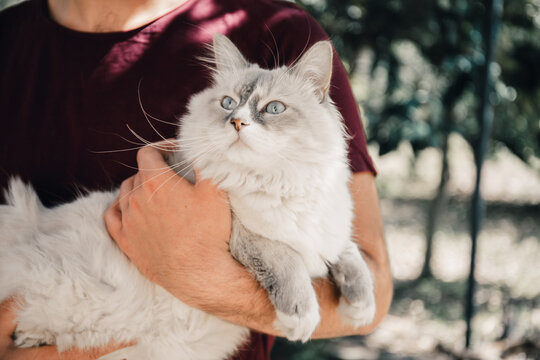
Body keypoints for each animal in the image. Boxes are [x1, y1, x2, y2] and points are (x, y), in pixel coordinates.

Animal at [0, 34, 376, 360]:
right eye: (228, 104)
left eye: (273, 109)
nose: (237, 122)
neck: (278, 183)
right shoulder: (243, 236)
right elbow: (286, 259)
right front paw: (301, 316)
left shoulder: (328, 231)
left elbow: (350, 254)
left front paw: (360, 308)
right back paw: (30, 334)